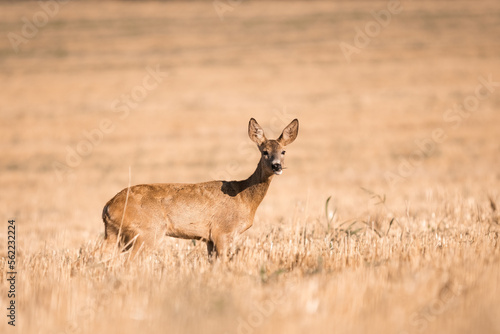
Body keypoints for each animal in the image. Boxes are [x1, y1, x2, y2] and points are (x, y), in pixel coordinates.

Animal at [100, 118, 298, 258]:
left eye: (283, 151)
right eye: (264, 152)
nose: (277, 166)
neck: (245, 198)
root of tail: (108, 206)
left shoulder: (209, 239)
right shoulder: (222, 231)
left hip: (114, 234)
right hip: (146, 232)